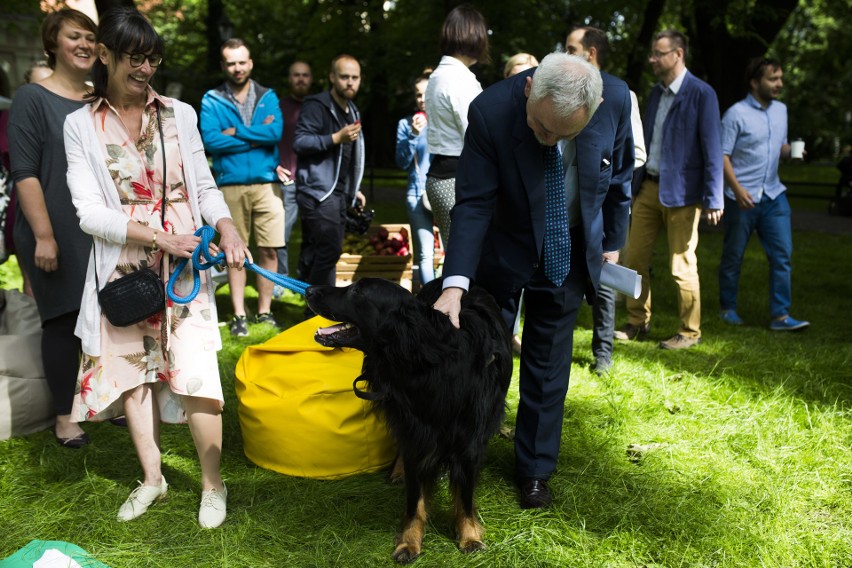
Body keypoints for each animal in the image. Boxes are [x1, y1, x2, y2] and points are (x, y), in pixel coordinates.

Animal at [306, 278, 512, 560]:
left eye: (358, 291)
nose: (308, 290)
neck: (428, 362)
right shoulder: (416, 431)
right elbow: (415, 498)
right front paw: (409, 541)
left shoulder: (469, 441)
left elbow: (465, 496)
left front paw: (469, 535)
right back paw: (398, 471)